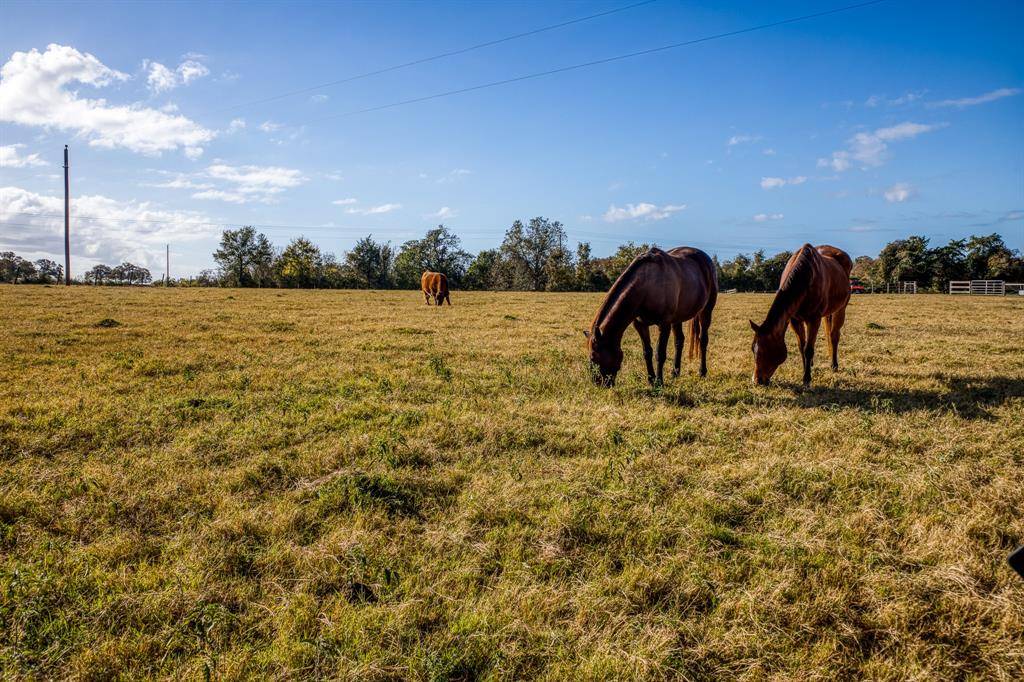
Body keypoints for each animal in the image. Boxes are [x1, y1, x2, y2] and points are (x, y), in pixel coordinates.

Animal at [585, 245, 720, 385]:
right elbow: (647, 352)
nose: (598, 383)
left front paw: (659, 382)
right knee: (679, 341)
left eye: (594, 357)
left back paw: (702, 372)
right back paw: (675, 372)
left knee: (703, 340)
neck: (646, 286)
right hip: (677, 318)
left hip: (706, 312)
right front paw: (651, 379)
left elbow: (660, 353)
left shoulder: (664, 325)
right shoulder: (640, 325)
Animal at [749, 242, 851, 382]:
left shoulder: (814, 320)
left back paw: (834, 365)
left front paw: (807, 379)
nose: (757, 380)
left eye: (765, 350)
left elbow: (808, 349)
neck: (807, 277)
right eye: (753, 349)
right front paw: (805, 370)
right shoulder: (794, 320)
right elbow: (802, 346)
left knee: (834, 336)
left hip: (840, 309)